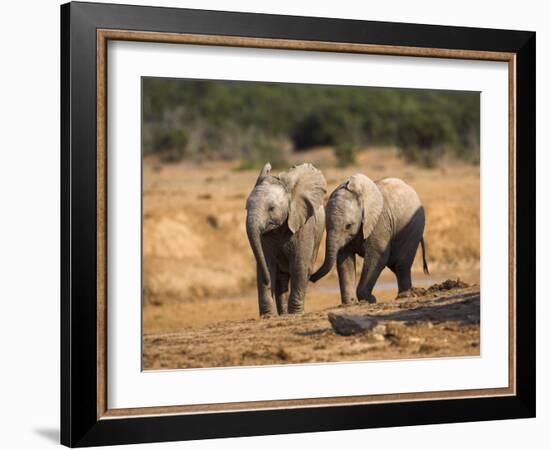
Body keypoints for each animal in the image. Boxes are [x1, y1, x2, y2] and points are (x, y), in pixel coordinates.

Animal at [246, 163, 328, 316]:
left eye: (271, 208)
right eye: (246, 207)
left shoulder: (304, 225)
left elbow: (298, 265)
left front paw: (295, 313)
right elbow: (267, 264)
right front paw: (268, 316)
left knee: (305, 270)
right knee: (281, 278)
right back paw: (283, 314)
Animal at [312, 174, 430, 304]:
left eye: (348, 226)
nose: (310, 277)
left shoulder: (379, 222)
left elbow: (377, 256)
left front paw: (370, 299)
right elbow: (344, 258)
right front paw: (350, 303)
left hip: (414, 228)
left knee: (401, 264)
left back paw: (404, 295)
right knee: (396, 266)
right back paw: (405, 294)